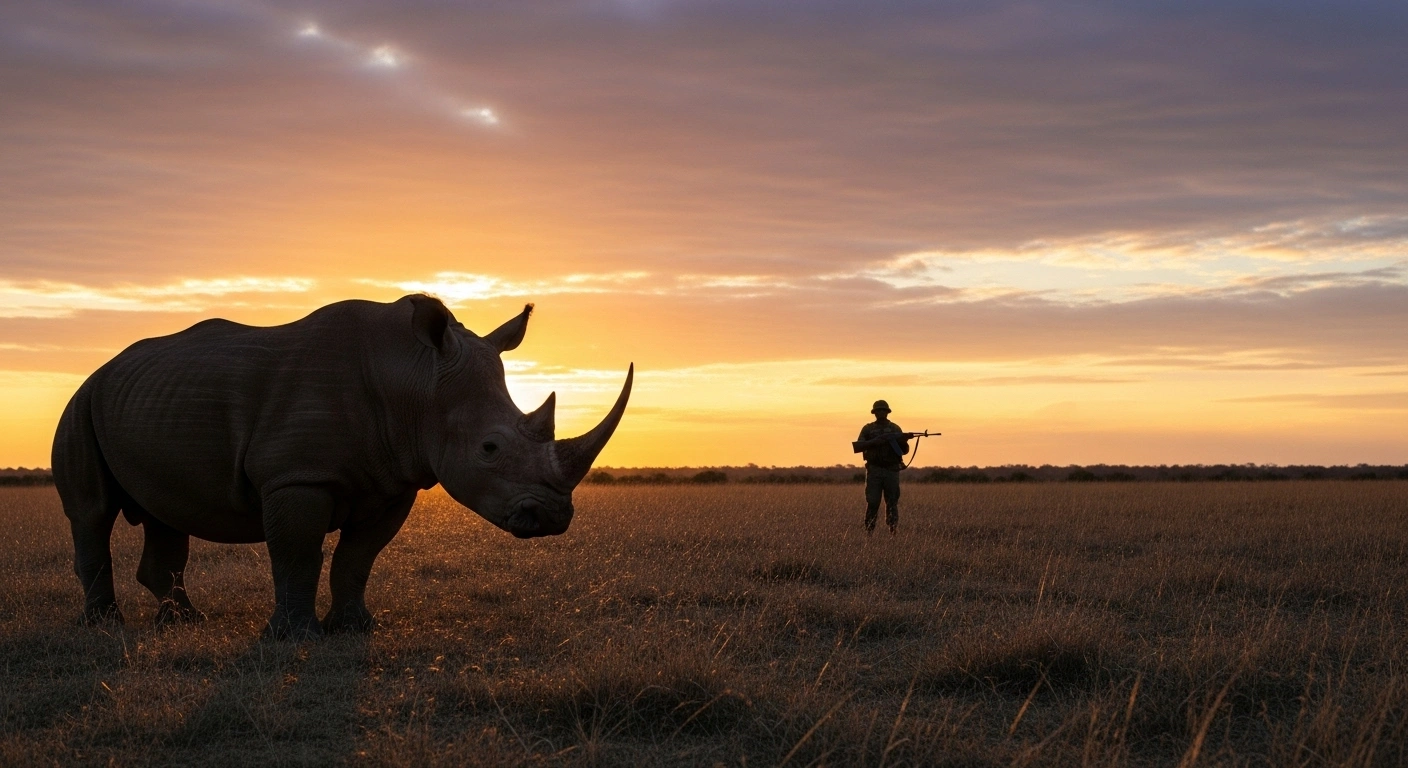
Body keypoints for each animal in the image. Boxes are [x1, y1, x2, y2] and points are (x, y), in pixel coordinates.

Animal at [52, 295, 631, 638]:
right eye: (489, 448)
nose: (553, 518)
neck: (416, 379)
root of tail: (105, 368)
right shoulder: (296, 476)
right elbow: (298, 555)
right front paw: (293, 637)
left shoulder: (394, 481)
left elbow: (357, 558)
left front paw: (355, 628)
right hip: (82, 401)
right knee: (92, 513)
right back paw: (104, 626)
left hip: (143, 400)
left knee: (164, 512)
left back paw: (183, 624)